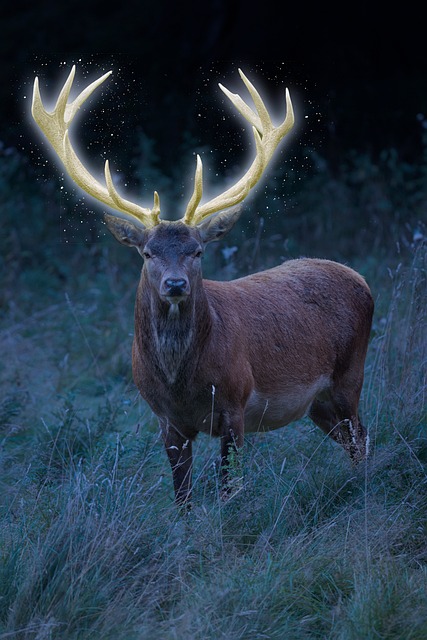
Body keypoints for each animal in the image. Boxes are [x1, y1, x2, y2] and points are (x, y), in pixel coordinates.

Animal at [31, 65, 372, 504]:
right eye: (147, 253)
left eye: (197, 251)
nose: (175, 284)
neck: (182, 385)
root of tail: (359, 278)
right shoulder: (166, 421)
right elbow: (182, 498)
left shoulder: (236, 402)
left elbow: (230, 488)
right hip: (318, 403)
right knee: (354, 439)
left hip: (350, 373)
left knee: (361, 436)